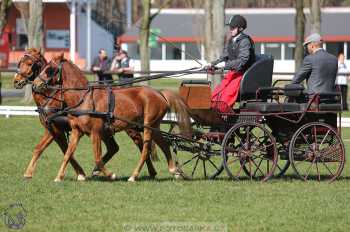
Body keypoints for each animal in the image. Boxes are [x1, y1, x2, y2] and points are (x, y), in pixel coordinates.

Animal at [14, 48, 157, 179]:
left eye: (29, 63)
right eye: (20, 62)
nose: (16, 81)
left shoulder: (57, 129)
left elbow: (65, 150)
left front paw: (80, 174)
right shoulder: (53, 129)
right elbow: (42, 149)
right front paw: (28, 173)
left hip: (130, 128)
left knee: (141, 145)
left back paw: (148, 171)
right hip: (108, 131)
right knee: (114, 148)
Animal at [32, 53, 191, 181]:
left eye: (49, 69)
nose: (35, 84)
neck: (84, 98)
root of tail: (159, 93)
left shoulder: (95, 132)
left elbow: (97, 158)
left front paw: (110, 175)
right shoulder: (77, 131)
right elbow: (68, 154)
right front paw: (59, 177)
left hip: (148, 126)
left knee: (145, 149)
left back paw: (134, 176)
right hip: (154, 126)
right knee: (164, 144)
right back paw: (174, 170)